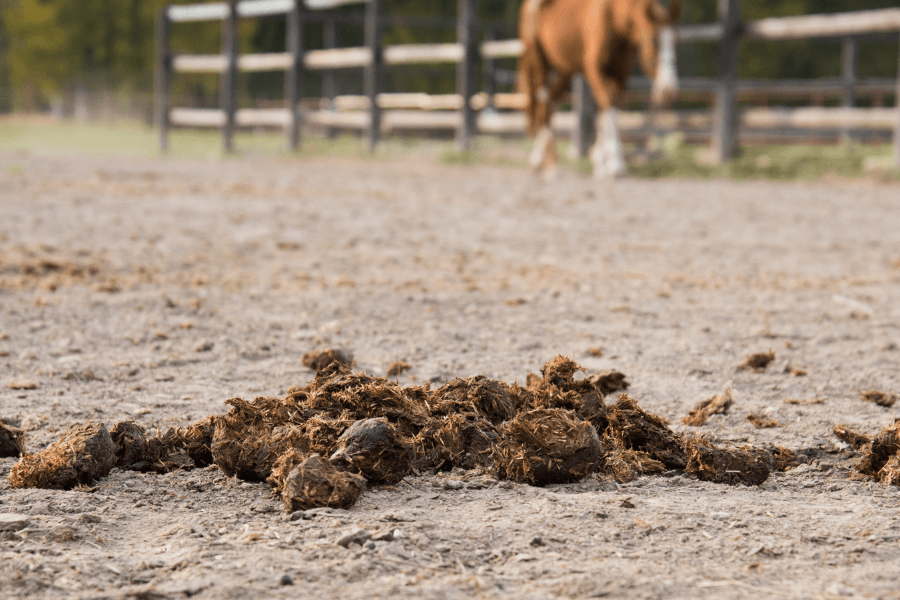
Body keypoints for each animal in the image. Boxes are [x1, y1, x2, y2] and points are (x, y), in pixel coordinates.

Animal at [520, 0, 684, 178]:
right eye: (654, 41)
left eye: (676, 42)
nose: (668, 90)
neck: (614, 20)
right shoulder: (594, 70)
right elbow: (607, 106)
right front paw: (615, 164)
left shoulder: (620, 74)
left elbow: (609, 111)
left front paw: (600, 161)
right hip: (538, 64)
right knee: (543, 105)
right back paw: (551, 165)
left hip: (565, 71)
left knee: (549, 105)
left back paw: (539, 158)